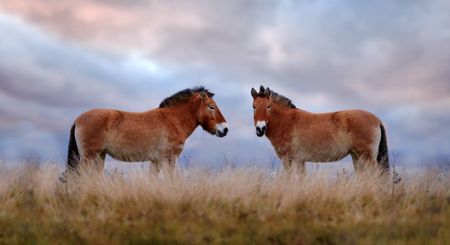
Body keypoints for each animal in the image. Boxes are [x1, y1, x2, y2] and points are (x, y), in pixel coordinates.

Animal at [63, 87, 229, 175]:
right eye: (211, 106)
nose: (225, 129)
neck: (173, 120)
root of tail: (78, 120)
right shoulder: (169, 160)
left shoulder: (156, 161)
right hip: (89, 157)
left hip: (99, 157)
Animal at [251, 85, 388, 173]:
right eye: (254, 106)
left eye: (268, 106)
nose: (260, 129)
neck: (286, 121)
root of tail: (377, 120)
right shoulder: (300, 161)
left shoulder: (288, 160)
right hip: (357, 157)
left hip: (367, 158)